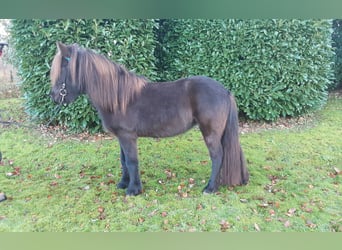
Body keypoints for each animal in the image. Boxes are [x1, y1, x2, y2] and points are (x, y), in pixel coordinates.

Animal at [50, 42, 248, 196]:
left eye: (61, 71)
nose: (54, 97)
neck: (118, 98)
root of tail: (225, 91)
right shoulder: (121, 137)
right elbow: (123, 161)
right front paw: (123, 184)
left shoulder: (128, 136)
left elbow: (131, 161)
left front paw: (133, 190)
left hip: (210, 133)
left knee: (217, 156)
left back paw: (210, 188)